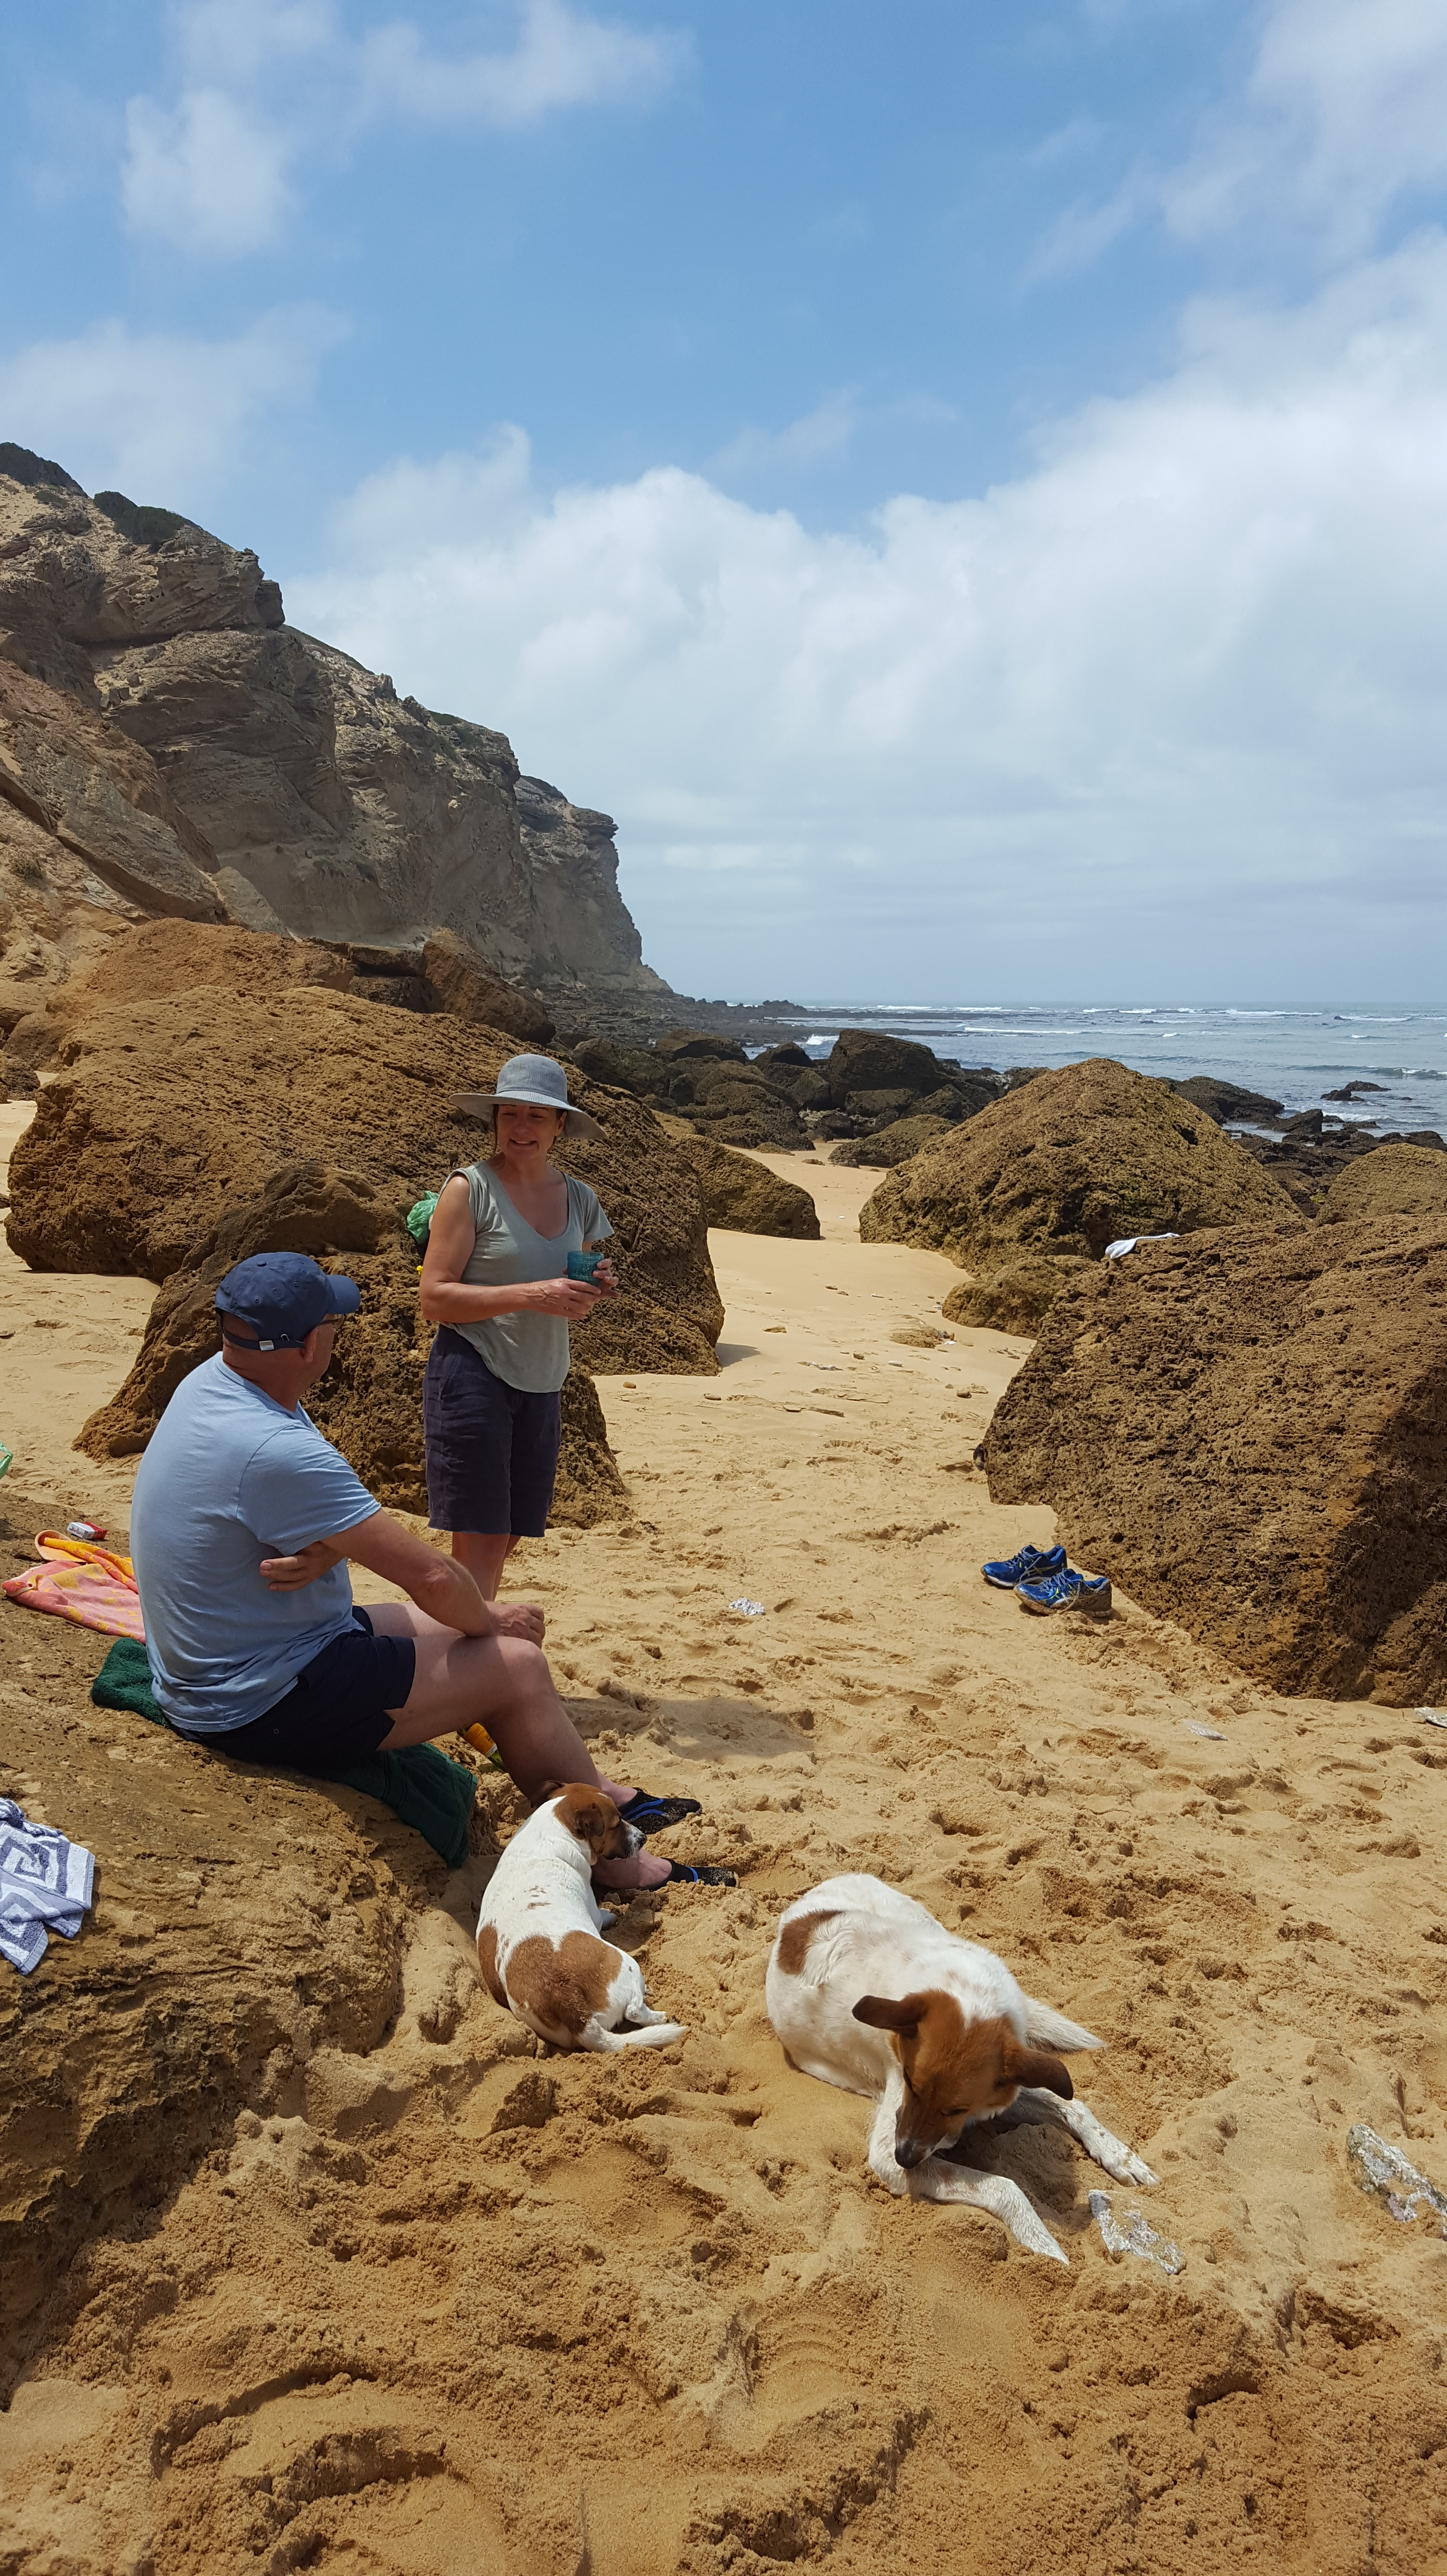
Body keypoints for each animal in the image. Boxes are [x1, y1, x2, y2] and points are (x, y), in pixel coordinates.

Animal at [476, 1785, 686, 2053]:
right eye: (617, 1823)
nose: (643, 1838)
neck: (549, 1834)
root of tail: (573, 2008)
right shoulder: (594, 1913)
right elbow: (602, 1915)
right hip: (628, 1964)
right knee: (634, 2011)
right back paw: (661, 2015)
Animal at [766, 1873, 1156, 2261]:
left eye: (956, 2109)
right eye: (910, 2082)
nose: (906, 2158)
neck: (971, 1993)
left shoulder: (1000, 2088)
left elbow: (1072, 2105)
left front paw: (1122, 2157)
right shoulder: (888, 2152)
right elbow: (1007, 2187)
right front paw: (1045, 2251)